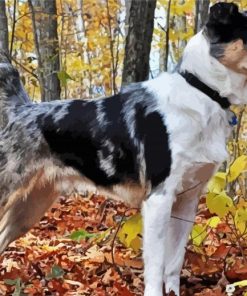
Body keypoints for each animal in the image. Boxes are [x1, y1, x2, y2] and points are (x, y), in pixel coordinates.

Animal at [0, 2, 247, 296]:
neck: (202, 90)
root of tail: (19, 111)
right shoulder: (159, 198)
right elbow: (155, 266)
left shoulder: (188, 199)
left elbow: (174, 263)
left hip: (31, 205)